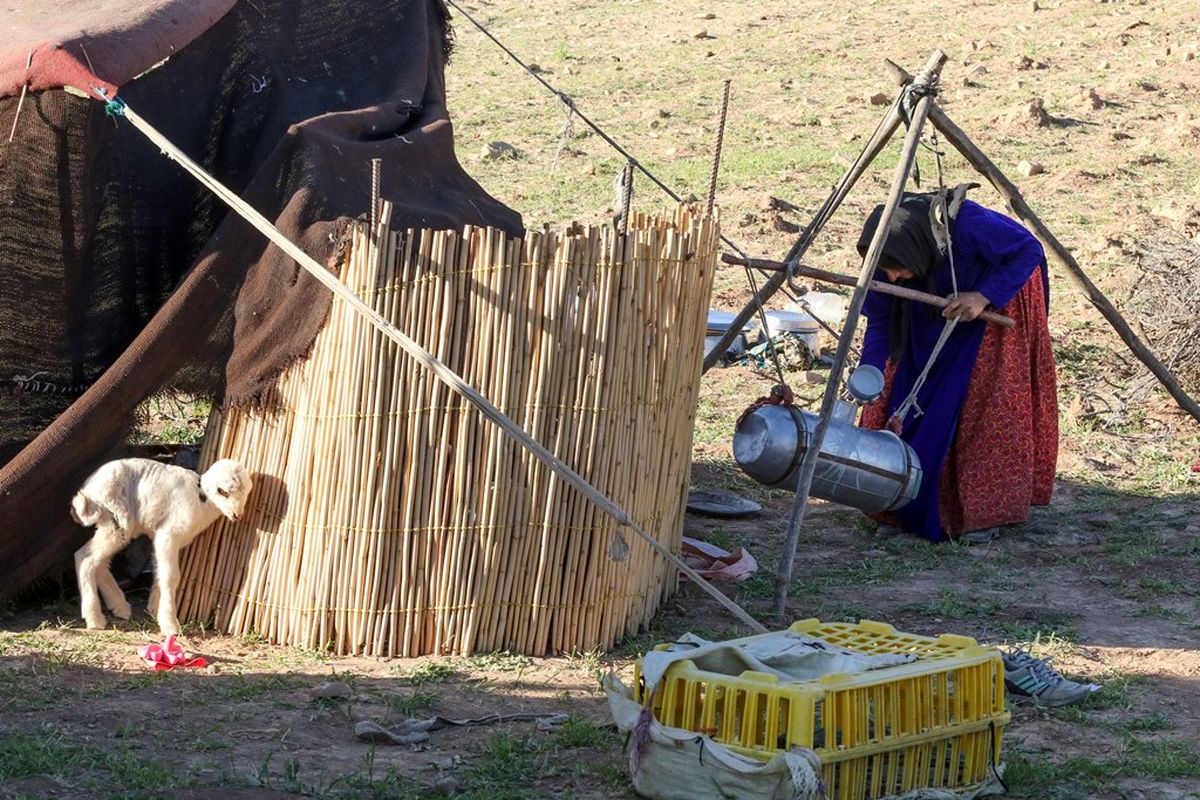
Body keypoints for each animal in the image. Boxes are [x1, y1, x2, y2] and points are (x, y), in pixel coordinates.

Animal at [70, 460, 253, 633]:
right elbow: (171, 576)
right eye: (224, 492)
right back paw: (94, 618)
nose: (237, 515)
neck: (201, 499)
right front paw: (170, 624)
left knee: (99, 562)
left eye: (246, 493)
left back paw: (119, 607)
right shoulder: (168, 536)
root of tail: (88, 491)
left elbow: (160, 572)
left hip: (116, 526)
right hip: (117, 520)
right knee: (84, 557)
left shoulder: (162, 538)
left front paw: (154, 610)